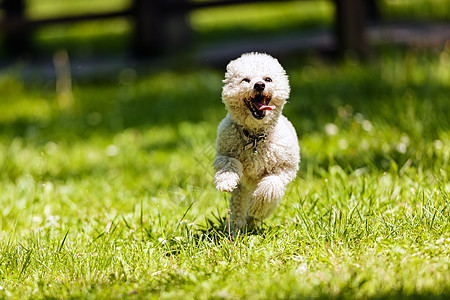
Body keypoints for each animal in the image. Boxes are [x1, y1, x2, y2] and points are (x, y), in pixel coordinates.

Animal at [213, 52, 300, 236]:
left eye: (268, 79)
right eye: (245, 80)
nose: (259, 84)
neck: (255, 137)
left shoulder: (284, 169)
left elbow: (270, 187)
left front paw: (258, 207)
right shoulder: (225, 152)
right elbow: (228, 164)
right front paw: (226, 181)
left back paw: (253, 217)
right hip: (243, 189)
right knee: (238, 206)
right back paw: (236, 229)